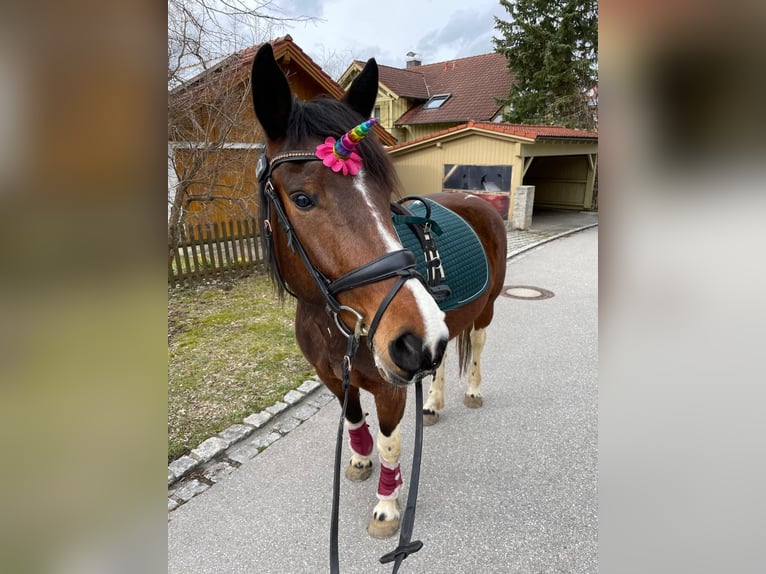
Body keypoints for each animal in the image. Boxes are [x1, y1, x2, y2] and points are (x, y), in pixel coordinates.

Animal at [249, 44, 508, 540]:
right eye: (302, 199)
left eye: (384, 192)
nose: (416, 339)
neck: (333, 322)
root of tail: (476, 201)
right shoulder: (336, 379)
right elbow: (355, 423)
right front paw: (359, 459)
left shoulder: (390, 390)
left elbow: (390, 442)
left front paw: (387, 505)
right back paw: (433, 402)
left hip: (486, 310)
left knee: (479, 343)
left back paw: (471, 392)